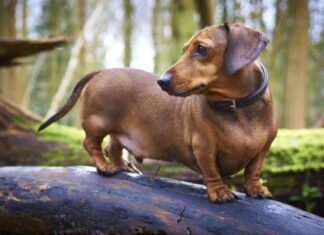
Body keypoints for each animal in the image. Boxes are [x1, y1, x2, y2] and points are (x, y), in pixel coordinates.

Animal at [38, 23, 278, 202]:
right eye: (184, 49)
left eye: (201, 49)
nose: (162, 81)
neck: (236, 107)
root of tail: (101, 71)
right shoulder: (204, 147)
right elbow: (211, 170)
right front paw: (219, 191)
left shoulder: (263, 148)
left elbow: (253, 170)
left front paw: (256, 189)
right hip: (98, 123)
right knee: (92, 145)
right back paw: (106, 166)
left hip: (118, 130)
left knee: (112, 147)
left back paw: (123, 166)